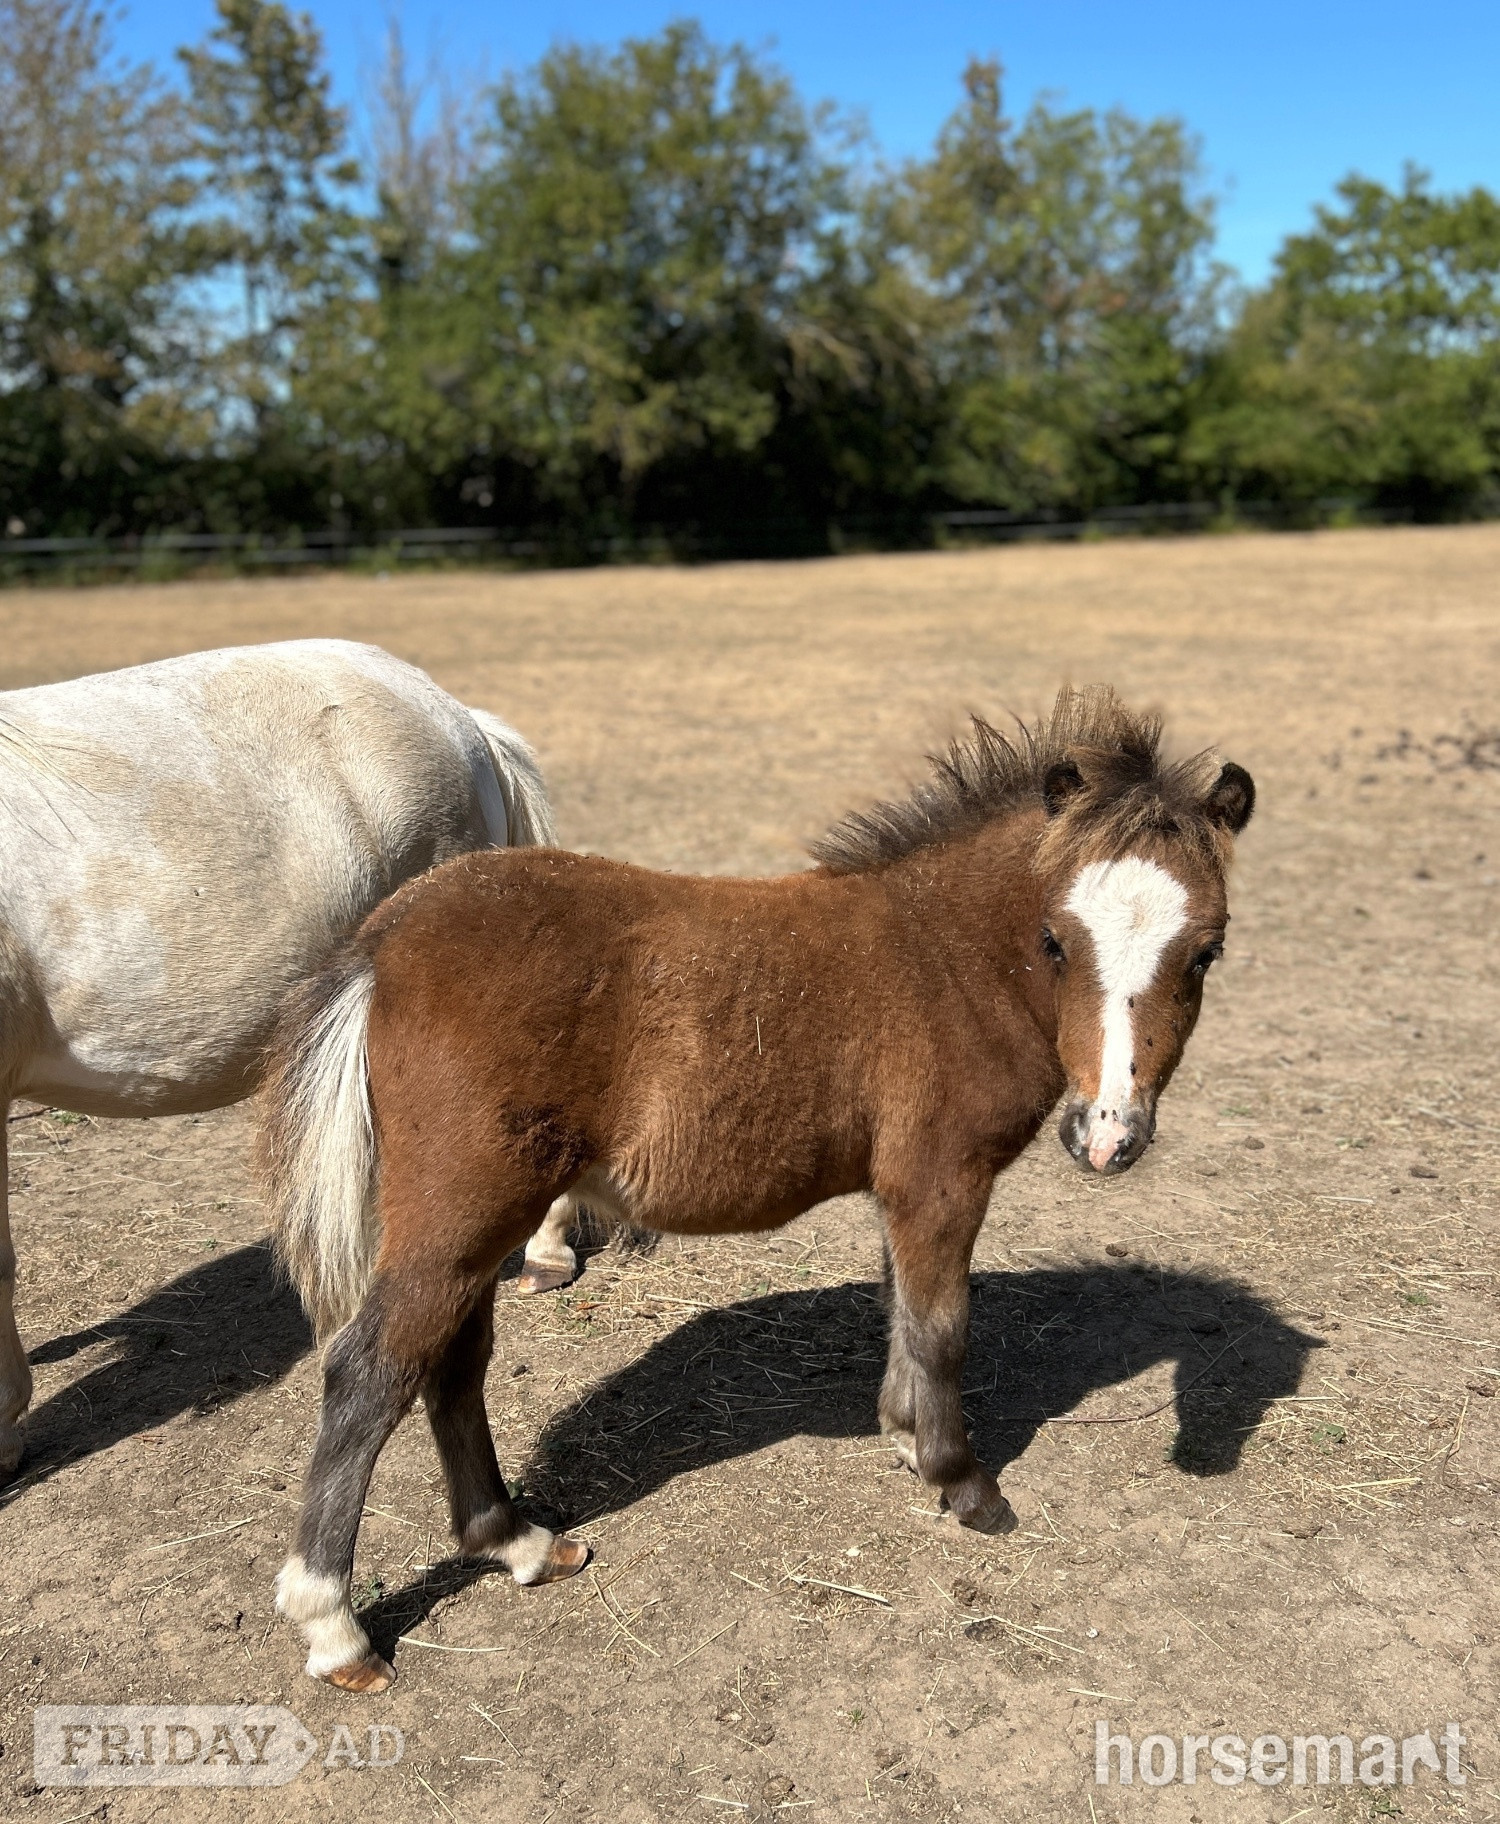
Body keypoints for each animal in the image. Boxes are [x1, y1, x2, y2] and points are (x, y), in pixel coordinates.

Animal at [258, 685, 1255, 1692]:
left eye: (1206, 952)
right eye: (1056, 939)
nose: (1107, 1136)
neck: (945, 959)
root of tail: (382, 940)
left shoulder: (899, 1186)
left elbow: (901, 1307)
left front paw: (902, 1437)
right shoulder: (942, 1177)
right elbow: (943, 1326)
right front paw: (961, 1482)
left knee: (452, 1364)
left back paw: (518, 1542)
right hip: (462, 1213)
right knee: (372, 1369)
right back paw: (335, 1626)